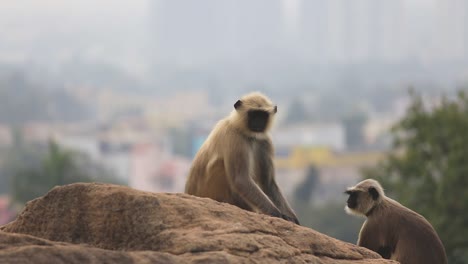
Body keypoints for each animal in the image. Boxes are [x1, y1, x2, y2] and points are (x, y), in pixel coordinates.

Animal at [184, 92, 298, 224]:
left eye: (262, 115)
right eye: (253, 114)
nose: (258, 122)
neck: (247, 134)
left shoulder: (265, 140)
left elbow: (268, 182)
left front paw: (292, 218)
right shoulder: (234, 136)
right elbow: (241, 179)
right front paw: (277, 214)